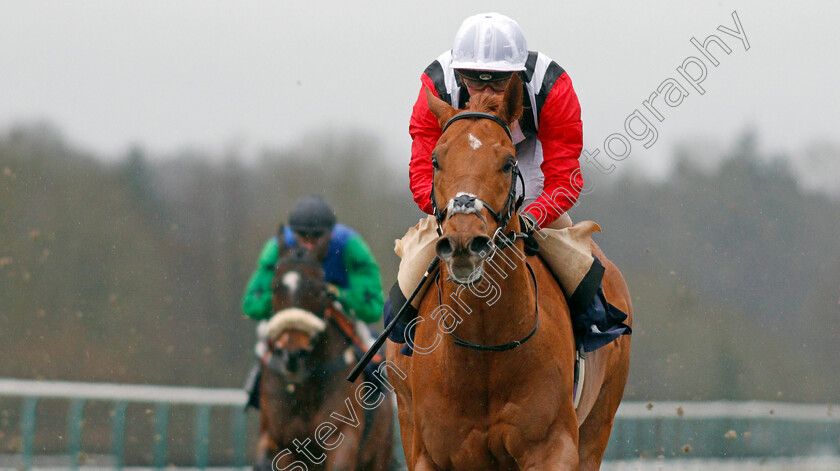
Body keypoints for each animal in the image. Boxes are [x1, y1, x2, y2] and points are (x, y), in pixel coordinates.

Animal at [256, 245, 394, 470]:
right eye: (275, 287)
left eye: (319, 289)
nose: (293, 353)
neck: (304, 388)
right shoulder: (278, 440)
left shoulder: (342, 435)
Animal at [386, 75, 632, 470]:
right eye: (436, 160)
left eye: (507, 162)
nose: (464, 242)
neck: (485, 346)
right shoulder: (431, 453)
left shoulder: (553, 446)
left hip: (599, 423)